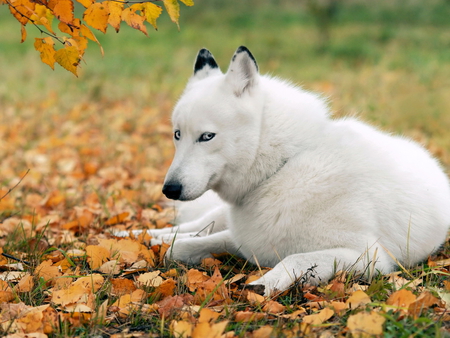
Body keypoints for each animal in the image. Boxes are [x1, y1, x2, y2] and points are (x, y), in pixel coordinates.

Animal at [124, 46, 450, 294]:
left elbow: (295, 259)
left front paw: (264, 283)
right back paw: (140, 235)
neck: (283, 168)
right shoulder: (244, 240)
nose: (169, 190)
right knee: (189, 227)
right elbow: (179, 249)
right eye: (177, 135)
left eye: (206, 136)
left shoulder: (368, 257)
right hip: (215, 216)